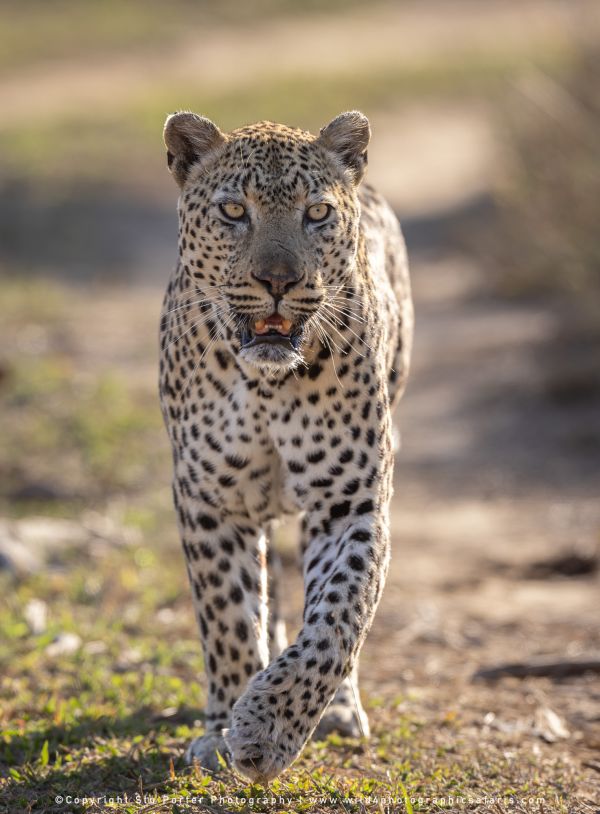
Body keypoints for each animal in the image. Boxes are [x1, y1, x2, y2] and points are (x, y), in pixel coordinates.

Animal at [159, 110, 412, 784]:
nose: (278, 281)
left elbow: (338, 618)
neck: (267, 383)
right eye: (234, 210)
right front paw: (221, 729)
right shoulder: (211, 500)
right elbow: (228, 616)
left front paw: (267, 730)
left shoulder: (349, 503)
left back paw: (340, 709)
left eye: (317, 213)